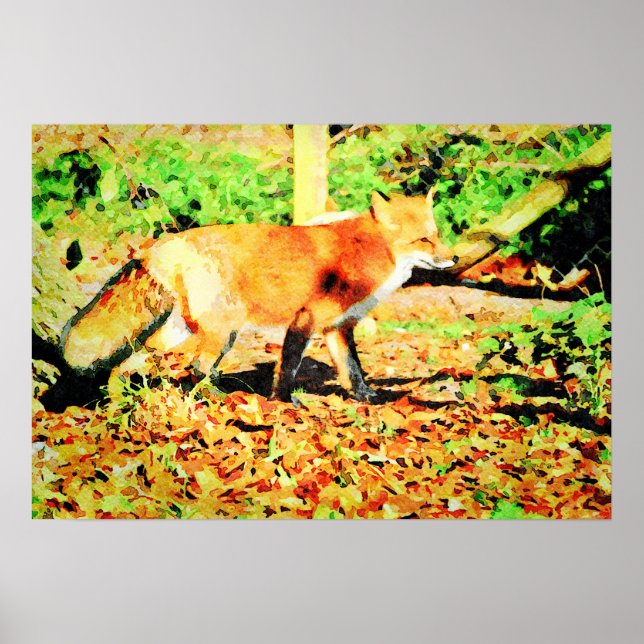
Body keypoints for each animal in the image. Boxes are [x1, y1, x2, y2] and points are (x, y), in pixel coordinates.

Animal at [60, 190, 457, 403]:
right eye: (423, 240)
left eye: (437, 235)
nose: (452, 258)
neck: (370, 251)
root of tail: (162, 243)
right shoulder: (306, 318)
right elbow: (288, 368)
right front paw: (282, 403)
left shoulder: (337, 328)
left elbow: (353, 370)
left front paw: (367, 399)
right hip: (225, 330)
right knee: (197, 369)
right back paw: (225, 401)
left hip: (177, 331)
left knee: (128, 361)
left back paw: (117, 398)